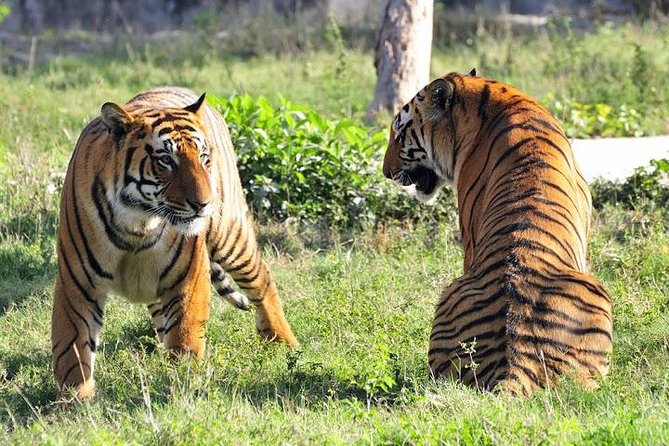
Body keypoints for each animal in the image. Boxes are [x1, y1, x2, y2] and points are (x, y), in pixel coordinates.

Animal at [53, 87, 298, 399]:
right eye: (166, 161)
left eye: (203, 157)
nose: (204, 204)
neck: (138, 221)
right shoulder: (77, 282)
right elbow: (72, 347)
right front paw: (74, 399)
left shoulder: (188, 277)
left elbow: (185, 338)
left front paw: (182, 386)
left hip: (230, 235)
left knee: (261, 277)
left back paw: (284, 343)